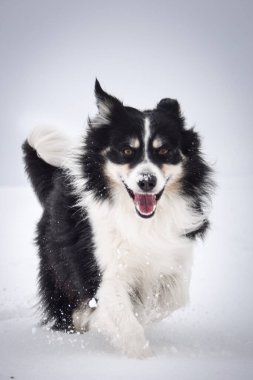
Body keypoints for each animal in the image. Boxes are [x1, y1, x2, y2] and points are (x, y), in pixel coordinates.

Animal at [23, 80, 213, 360]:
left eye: (164, 150)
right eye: (126, 150)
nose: (147, 181)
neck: (143, 220)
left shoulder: (175, 258)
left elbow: (172, 300)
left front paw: (142, 317)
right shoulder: (106, 272)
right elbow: (127, 323)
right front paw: (141, 357)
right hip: (60, 268)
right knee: (68, 312)